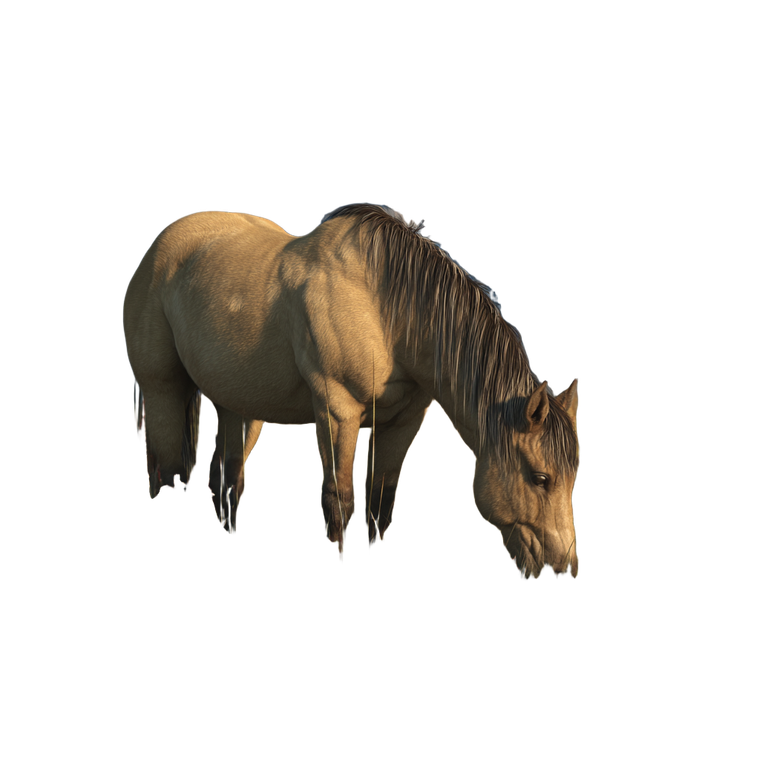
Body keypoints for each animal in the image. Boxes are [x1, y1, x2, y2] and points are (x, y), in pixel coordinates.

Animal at [123, 203, 580, 577]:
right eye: (540, 477)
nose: (564, 566)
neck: (385, 307)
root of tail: (160, 248)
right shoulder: (337, 412)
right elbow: (339, 501)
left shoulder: (402, 422)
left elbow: (380, 502)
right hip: (163, 395)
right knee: (166, 469)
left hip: (240, 406)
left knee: (226, 478)